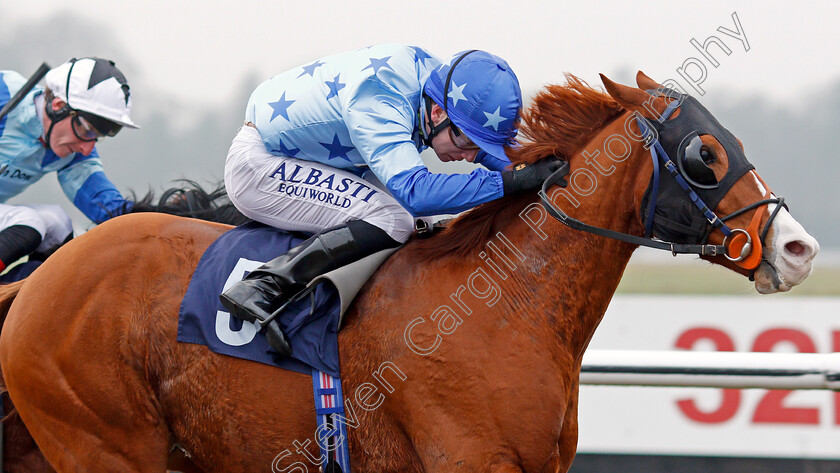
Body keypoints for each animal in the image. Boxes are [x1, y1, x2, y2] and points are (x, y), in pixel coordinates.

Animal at [0, 72, 816, 470]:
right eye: (704, 154)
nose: (797, 248)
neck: (505, 306)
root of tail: (40, 277)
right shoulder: (469, 459)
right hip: (103, 442)